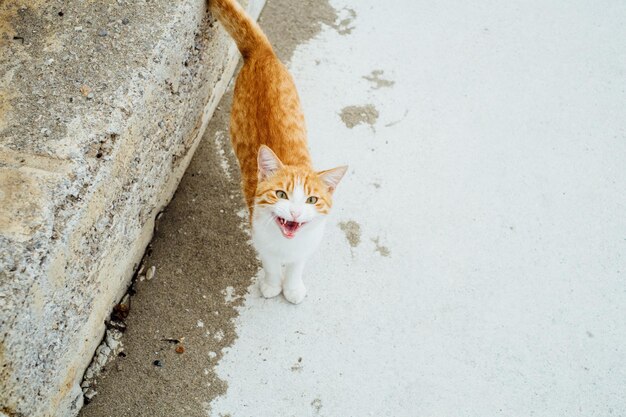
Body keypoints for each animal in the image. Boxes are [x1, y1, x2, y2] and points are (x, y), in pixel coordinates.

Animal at [208, 0, 346, 302]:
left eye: (311, 200)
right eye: (281, 194)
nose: (294, 213)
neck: (287, 244)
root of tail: (263, 53)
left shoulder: (305, 247)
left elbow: (296, 267)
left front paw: (292, 288)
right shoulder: (260, 239)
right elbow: (271, 265)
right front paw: (272, 285)